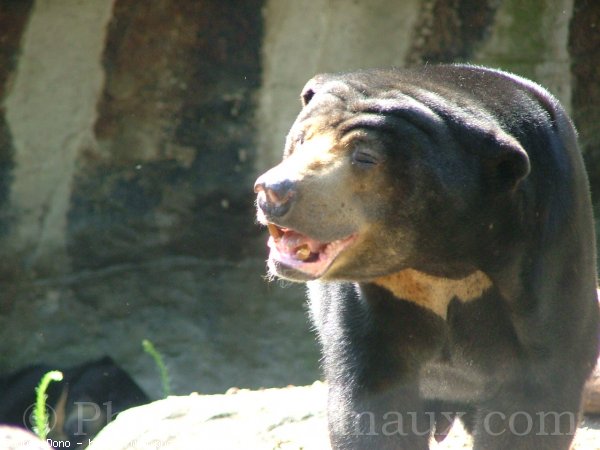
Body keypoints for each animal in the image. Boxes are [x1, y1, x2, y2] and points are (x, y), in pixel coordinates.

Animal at [254, 64, 600, 450]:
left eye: (365, 157)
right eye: (301, 139)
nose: (274, 191)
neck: (438, 261)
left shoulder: (545, 255)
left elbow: (535, 401)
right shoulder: (370, 307)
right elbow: (370, 402)